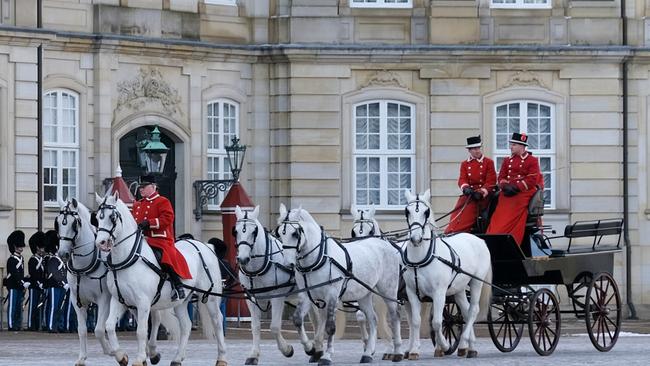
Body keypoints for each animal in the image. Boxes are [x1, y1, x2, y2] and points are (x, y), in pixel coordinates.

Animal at [55, 199, 112, 364]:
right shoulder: (77, 300)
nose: (63, 253)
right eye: (58, 223)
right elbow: (82, 330)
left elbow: (99, 329)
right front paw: (82, 358)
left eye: (75, 224)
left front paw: (111, 350)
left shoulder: (104, 299)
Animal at [95, 192, 227, 366]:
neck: (127, 259)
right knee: (186, 325)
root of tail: (205, 246)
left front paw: (139, 359)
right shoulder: (120, 300)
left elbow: (141, 331)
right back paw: (177, 358)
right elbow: (109, 326)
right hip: (181, 301)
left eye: (112, 217)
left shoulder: (143, 302)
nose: (101, 243)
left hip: (210, 297)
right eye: (97, 217)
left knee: (217, 321)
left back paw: (222, 358)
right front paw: (121, 356)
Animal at [234, 206, 322, 366]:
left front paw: (287, 350)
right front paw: (253, 355)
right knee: (316, 320)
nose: (243, 259)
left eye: (254, 231)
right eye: (235, 231)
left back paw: (312, 348)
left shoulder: (277, 297)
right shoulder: (251, 299)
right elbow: (255, 327)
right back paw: (317, 351)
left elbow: (274, 327)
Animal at [276, 204, 402, 364]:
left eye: (295, 234)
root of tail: (384, 244)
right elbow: (298, 319)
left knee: (394, 316)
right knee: (373, 319)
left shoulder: (332, 295)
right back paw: (368, 353)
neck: (318, 259)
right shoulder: (307, 295)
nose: (288, 264)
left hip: (387, 290)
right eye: (280, 233)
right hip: (364, 294)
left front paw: (327, 356)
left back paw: (397, 352)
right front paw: (310, 348)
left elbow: (330, 326)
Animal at [402, 190, 488, 358]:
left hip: (477, 282)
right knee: (466, 311)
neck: (421, 258)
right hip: (459, 289)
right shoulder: (411, 293)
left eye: (426, 212)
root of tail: (479, 239)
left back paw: (464, 341)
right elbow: (415, 321)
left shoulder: (439, 293)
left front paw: (444, 345)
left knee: (473, 310)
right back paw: (468, 347)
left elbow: (436, 322)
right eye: (407, 211)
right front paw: (414, 350)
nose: (415, 239)